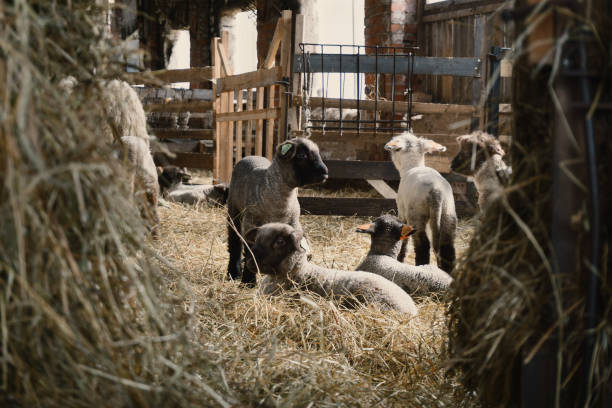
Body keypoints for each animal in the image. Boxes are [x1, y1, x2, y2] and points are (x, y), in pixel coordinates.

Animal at [226, 139, 330, 286]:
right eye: (301, 155)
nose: (325, 172)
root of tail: (249, 156)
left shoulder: (293, 222)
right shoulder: (250, 223)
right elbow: (249, 250)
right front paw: (248, 281)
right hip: (234, 211)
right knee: (234, 242)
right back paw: (233, 272)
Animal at [384, 131, 456, 272]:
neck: (412, 166)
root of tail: (436, 191)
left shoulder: (402, 211)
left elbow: (404, 236)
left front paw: (400, 257)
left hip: (416, 214)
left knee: (423, 245)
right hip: (448, 213)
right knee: (447, 247)